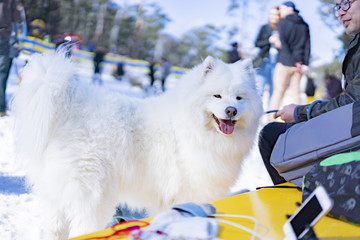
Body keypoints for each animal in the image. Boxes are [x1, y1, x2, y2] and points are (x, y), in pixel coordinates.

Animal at [11, 52, 262, 238]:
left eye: (239, 98)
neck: (193, 129)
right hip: (94, 196)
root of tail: (68, 111)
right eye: (217, 96)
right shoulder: (187, 194)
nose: (231, 111)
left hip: (56, 198)